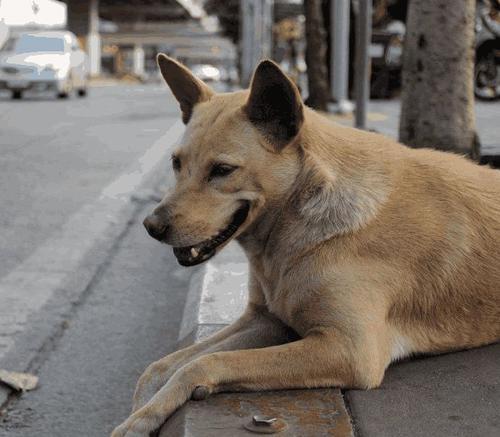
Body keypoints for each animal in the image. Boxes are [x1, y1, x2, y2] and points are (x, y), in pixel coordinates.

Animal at [112, 56, 500, 434]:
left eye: (222, 170)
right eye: (176, 163)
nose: (151, 226)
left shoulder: (348, 349)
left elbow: (203, 363)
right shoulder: (266, 319)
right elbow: (161, 366)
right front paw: (142, 411)